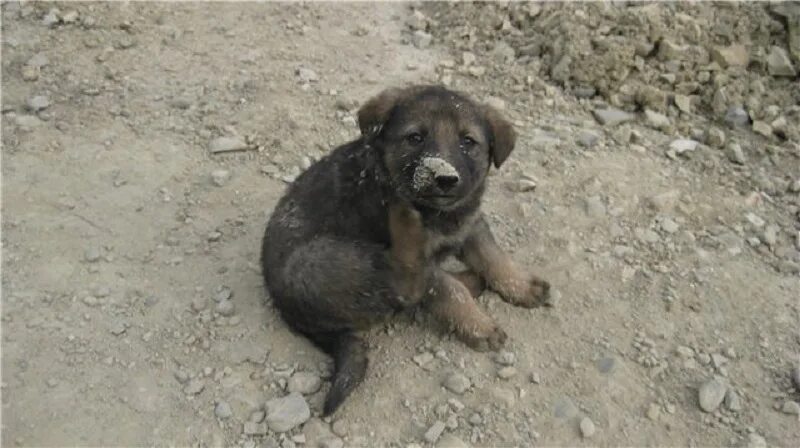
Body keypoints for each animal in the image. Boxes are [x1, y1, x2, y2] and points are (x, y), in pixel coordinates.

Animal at [260, 85, 552, 416]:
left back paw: (472, 279)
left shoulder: (471, 225)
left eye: (468, 141)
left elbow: (494, 257)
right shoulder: (432, 262)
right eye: (415, 138)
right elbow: (449, 291)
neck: (440, 214)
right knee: (404, 287)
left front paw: (522, 286)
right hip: (319, 260)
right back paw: (406, 222)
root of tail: (295, 317)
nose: (444, 178)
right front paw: (478, 325)